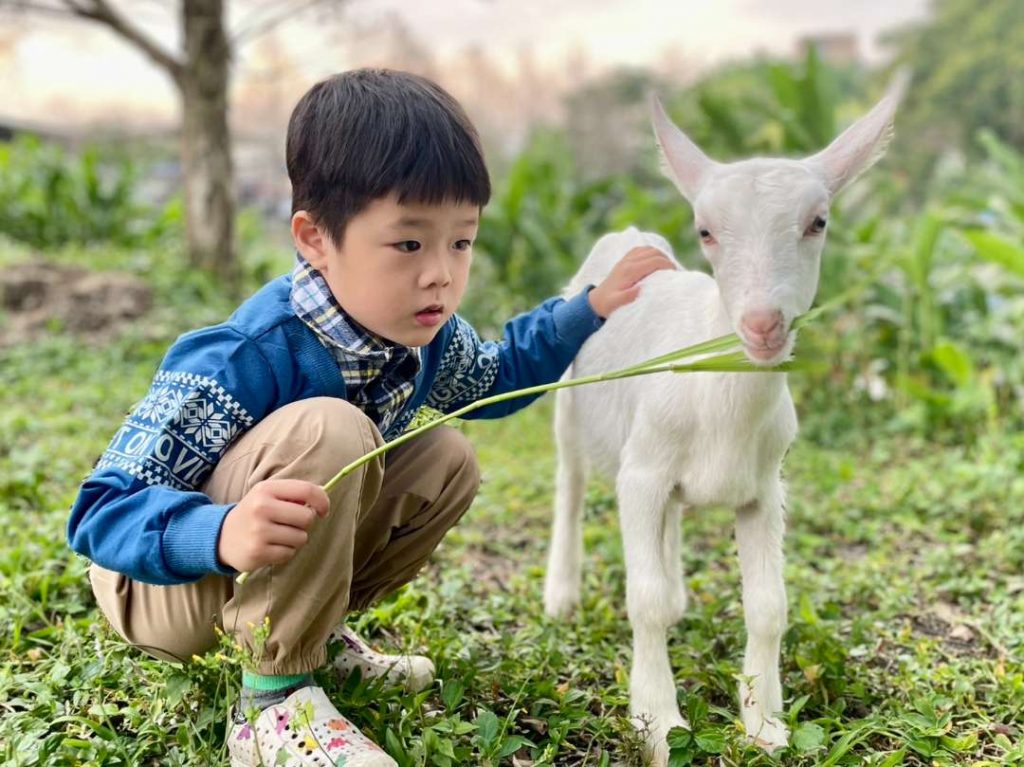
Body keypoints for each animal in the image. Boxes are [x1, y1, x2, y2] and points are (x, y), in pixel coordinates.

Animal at [544, 79, 905, 765]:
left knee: (673, 526)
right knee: (571, 490)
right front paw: (658, 724)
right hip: (570, 411)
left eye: (818, 222)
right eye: (705, 231)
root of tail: (627, 236)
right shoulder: (640, 474)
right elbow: (645, 600)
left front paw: (764, 724)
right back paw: (561, 596)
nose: (763, 325)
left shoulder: (764, 486)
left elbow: (767, 605)